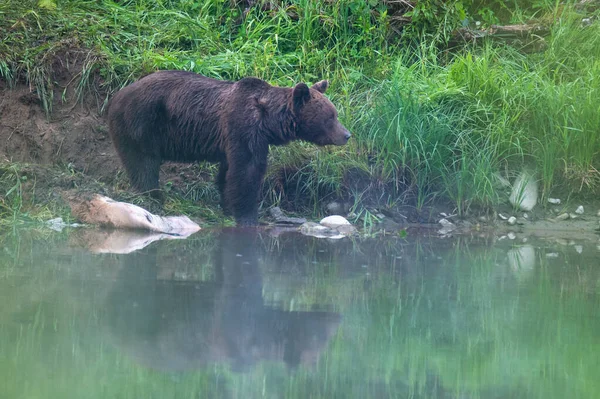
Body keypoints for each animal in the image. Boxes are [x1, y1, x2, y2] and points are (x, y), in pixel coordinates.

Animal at [109, 70, 352, 227]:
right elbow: (246, 172)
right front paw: (248, 214)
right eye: (331, 117)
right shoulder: (243, 127)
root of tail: (117, 95)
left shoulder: (232, 140)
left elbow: (228, 173)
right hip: (142, 122)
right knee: (144, 164)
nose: (347, 135)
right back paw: (153, 196)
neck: (269, 122)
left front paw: (227, 205)